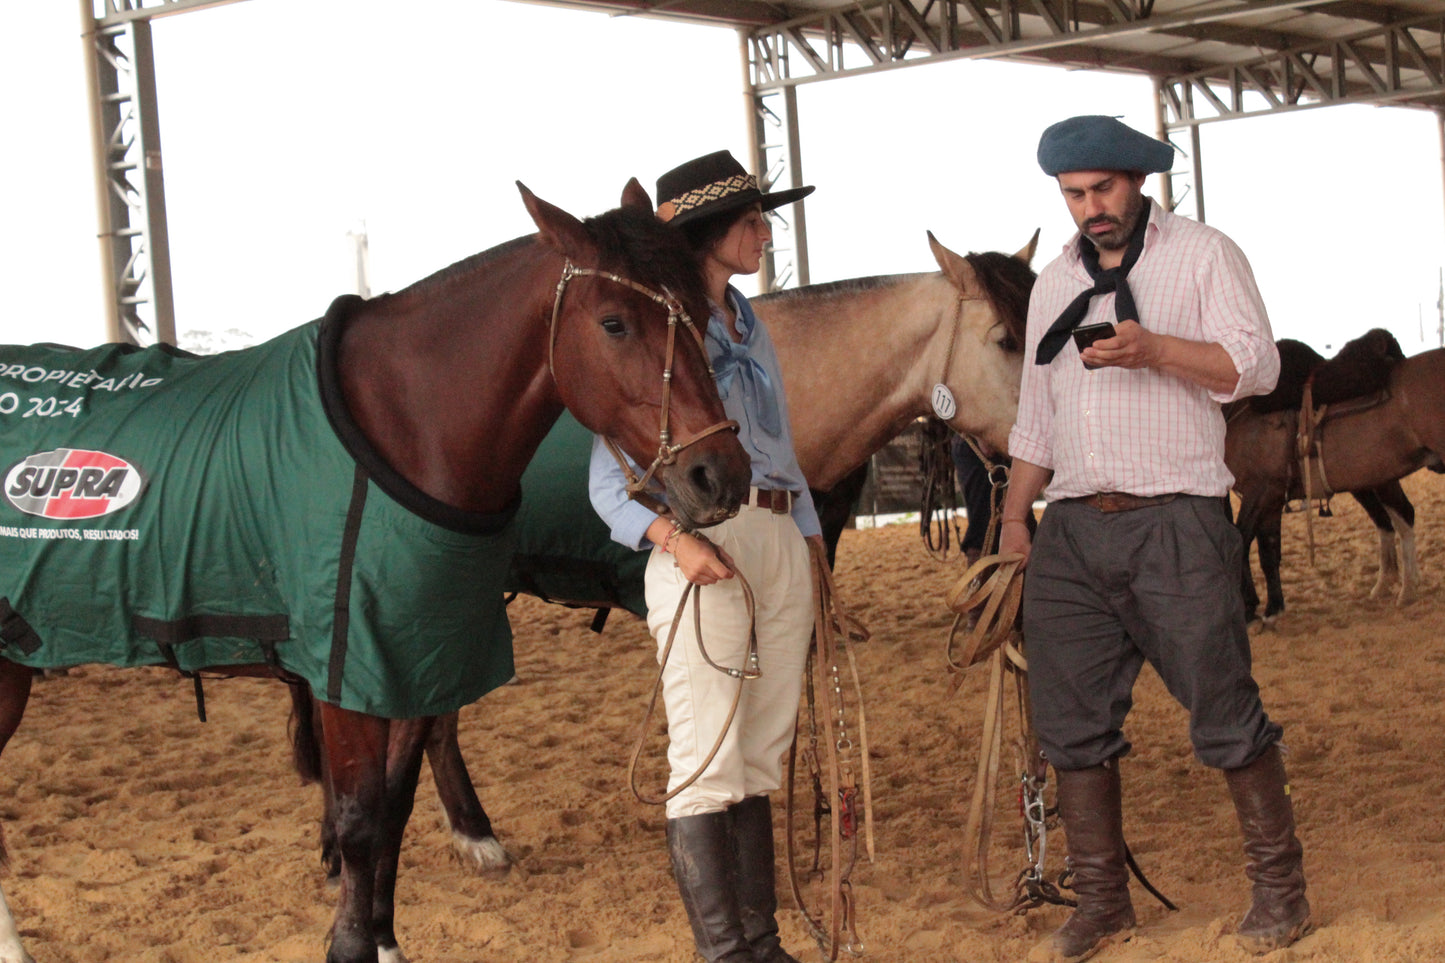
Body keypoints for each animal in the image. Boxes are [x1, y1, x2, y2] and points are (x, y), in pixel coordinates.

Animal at [0, 180, 751, 960]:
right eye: (613, 323)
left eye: (701, 314)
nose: (719, 475)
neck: (407, 428)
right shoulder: (348, 665)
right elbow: (360, 815)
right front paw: (352, 942)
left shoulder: (417, 653)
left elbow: (394, 801)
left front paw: (383, 934)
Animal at [1225, 332, 1439, 621]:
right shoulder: (1270, 498)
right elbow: (1269, 551)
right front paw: (1273, 609)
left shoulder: (1260, 491)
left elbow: (1241, 542)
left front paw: (1249, 610)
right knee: (1396, 517)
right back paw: (1399, 588)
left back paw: (1404, 589)